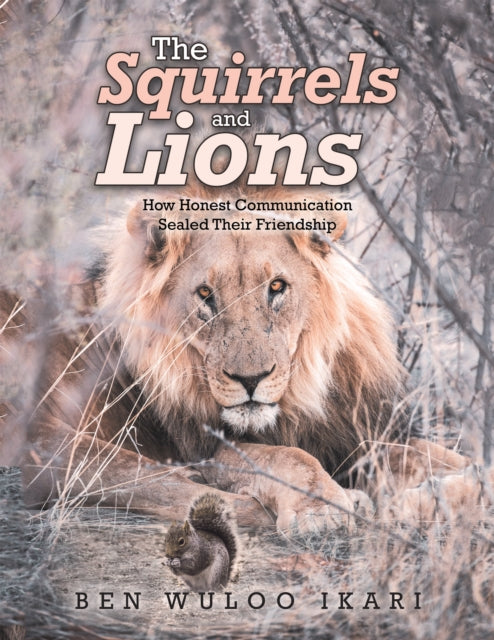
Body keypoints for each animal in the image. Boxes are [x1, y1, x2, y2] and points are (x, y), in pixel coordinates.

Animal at [0, 185, 480, 531]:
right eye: (205, 295)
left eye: (277, 287)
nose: (251, 380)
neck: (300, 398)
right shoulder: (201, 445)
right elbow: (288, 459)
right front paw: (321, 508)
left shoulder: (351, 436)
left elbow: (446, 458)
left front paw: (447, 489)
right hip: (49, 439)